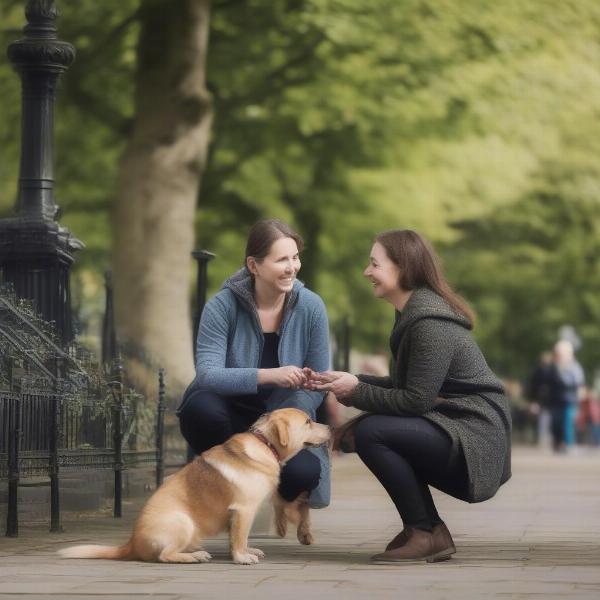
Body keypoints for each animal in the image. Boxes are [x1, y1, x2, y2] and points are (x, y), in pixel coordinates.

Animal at [58, 406, 330, 564]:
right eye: (308, 422)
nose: (329, 427)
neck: (265, 444)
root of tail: (131, 544)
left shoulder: (237, 515)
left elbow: (236, 539)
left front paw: (245, 552)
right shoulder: (244, 510)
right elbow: (239, 538)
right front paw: (241, 557)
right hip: (183, 522)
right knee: (165, 556)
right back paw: (195, 556)